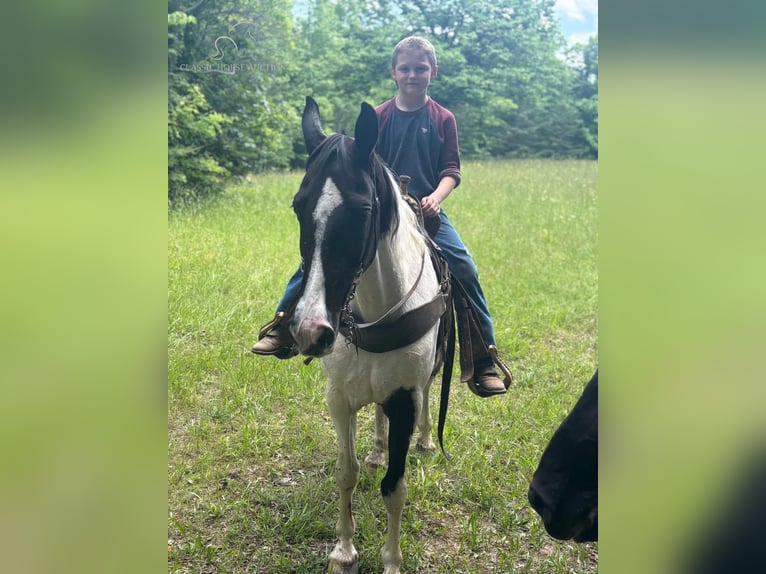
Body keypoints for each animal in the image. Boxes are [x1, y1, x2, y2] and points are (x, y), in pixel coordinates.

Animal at [288, 97, 450, 572]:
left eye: (362, 210)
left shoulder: (404, 398)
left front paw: (391, 560)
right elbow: (347, 471)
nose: (310, 330)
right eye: (298, 206)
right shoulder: (338, 398)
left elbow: (394, 487)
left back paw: (426, 439)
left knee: (429, 398)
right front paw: (343, 551)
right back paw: (377, 447)